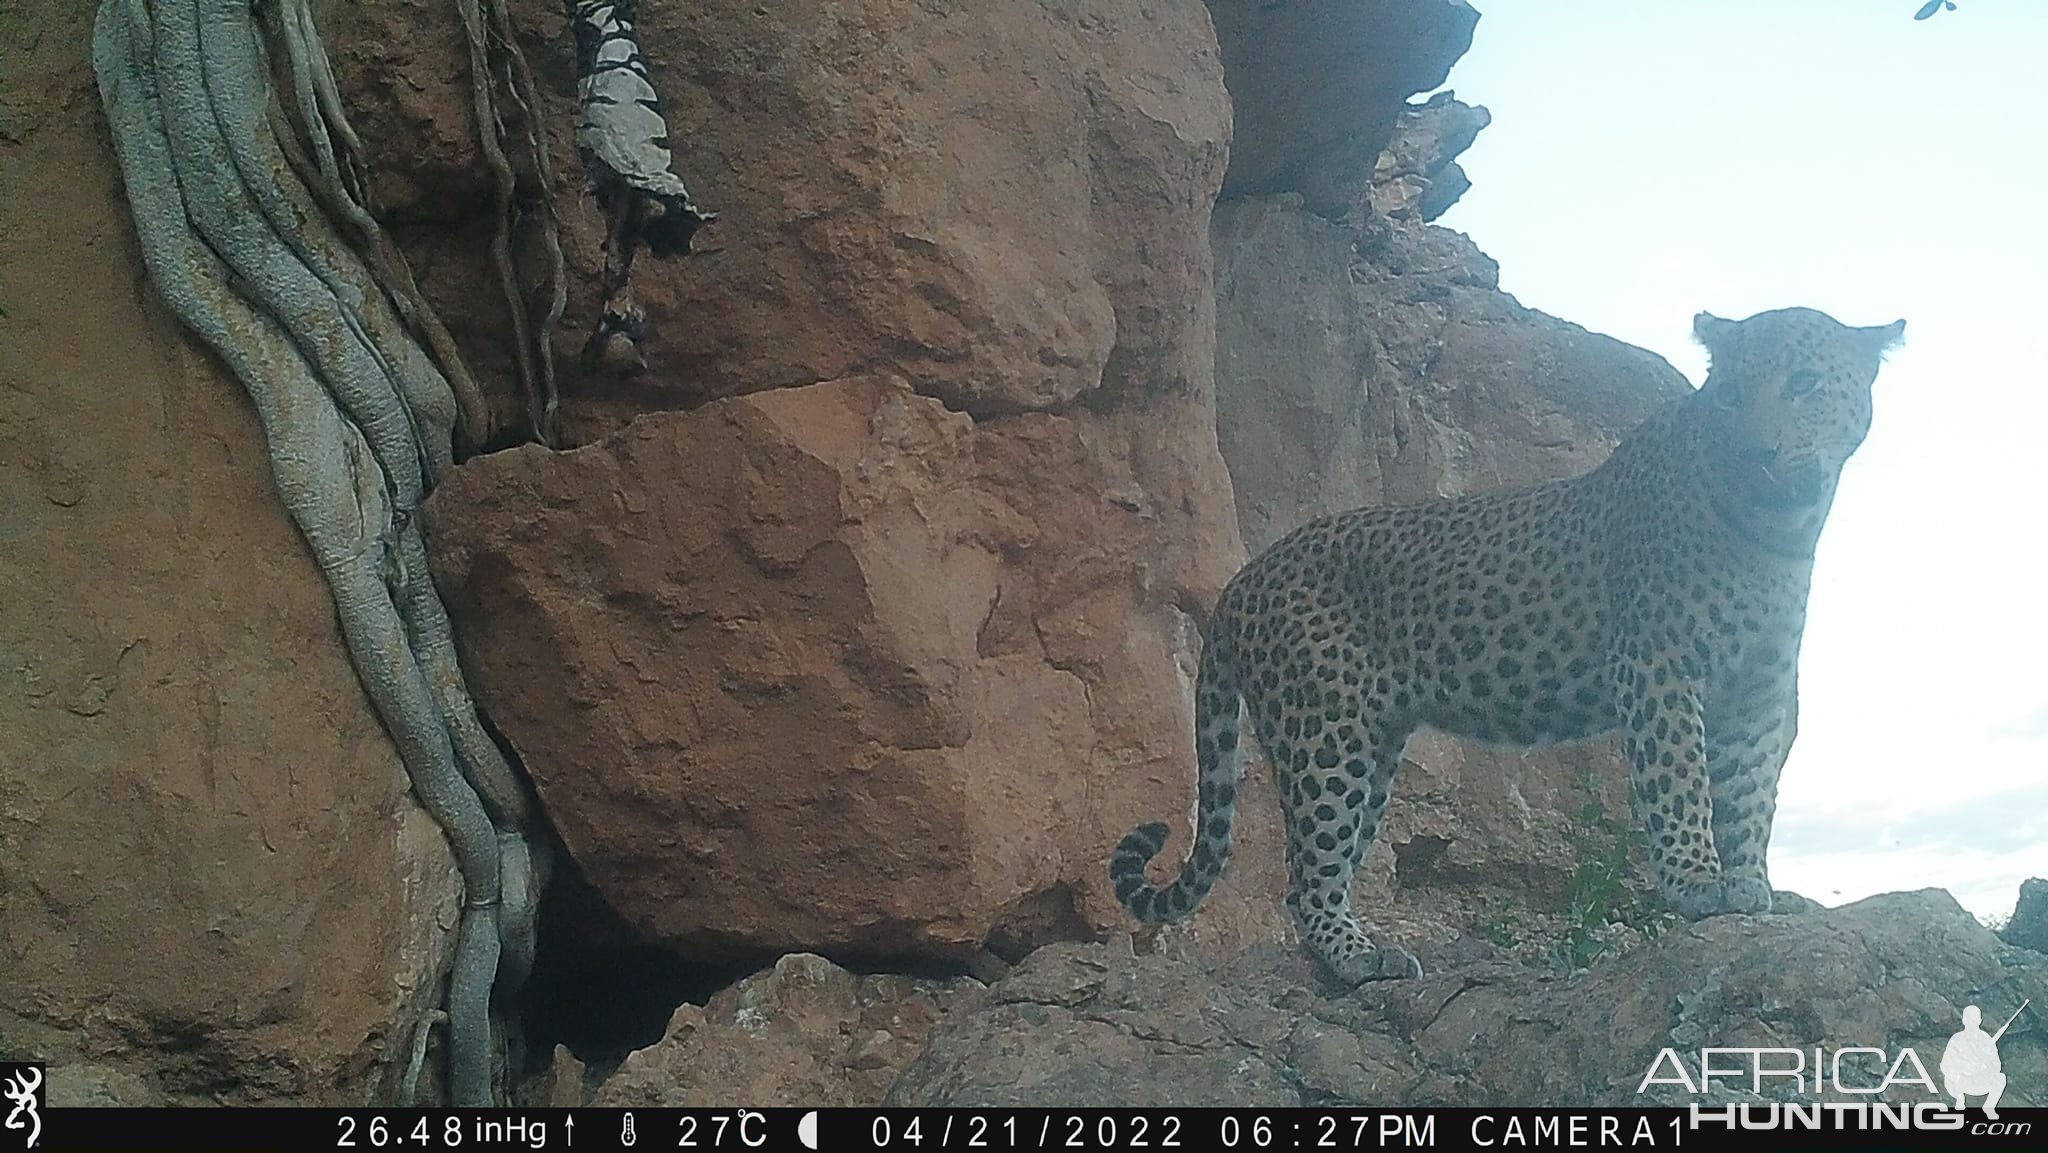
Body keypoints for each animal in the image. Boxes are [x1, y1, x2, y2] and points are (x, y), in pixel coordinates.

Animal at [1105, 305, 1900, 983]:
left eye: (1803, 385)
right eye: (1731, 394)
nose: (1757, 449)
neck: (1778, 529)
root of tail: (1242, 580)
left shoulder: (1760, 690)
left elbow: (1749, 792)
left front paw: (1751, 884)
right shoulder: (1658, 668)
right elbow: (1681, 778)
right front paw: (1697, 882)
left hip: (1371, 745)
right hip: (1325, 731)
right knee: (1308, 874)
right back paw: (1359, 958)